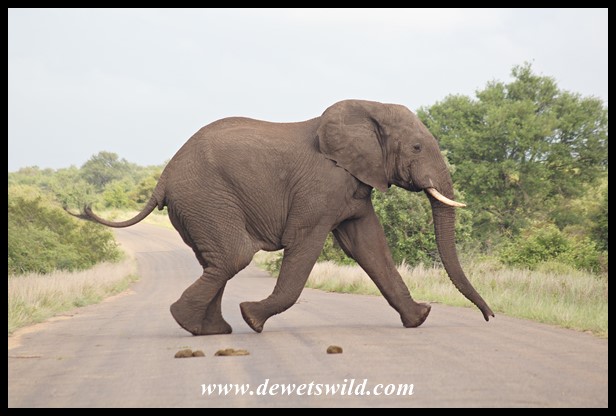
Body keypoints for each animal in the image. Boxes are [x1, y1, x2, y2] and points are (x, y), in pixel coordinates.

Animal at [79, 99, 494, 335]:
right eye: (417, 147)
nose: (490, 316)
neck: (366, 109)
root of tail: (164, 175)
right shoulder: (322, 186)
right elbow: (306, 242)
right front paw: (253, 318)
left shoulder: (355, 184)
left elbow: (368, 245)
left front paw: (419, 319)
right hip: (206, 198)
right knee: (233, 256)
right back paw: (197, 324)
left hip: (199, 206)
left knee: (216, 261)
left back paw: (210, 331)